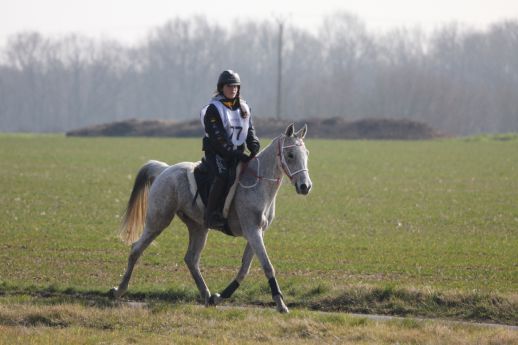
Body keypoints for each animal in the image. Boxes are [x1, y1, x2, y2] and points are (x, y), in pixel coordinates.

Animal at [110, 123, 312, 312]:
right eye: (290, 155)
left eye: (306, 154)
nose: (305, 186)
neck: (258, 183)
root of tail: (164, 170)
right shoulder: (252, 231)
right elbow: (267, 266)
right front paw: (280, 304)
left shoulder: (257, 232)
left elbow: (245, 269)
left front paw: (220, 297)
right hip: (158, 221)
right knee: (136, 249)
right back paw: (119, 290)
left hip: (198, 227)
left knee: (191, 259)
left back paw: (207, 296)